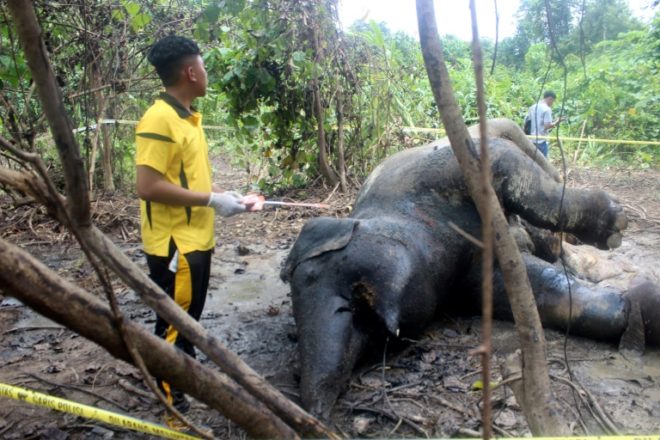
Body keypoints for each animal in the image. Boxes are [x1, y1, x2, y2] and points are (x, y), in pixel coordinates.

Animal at [280, 119, 660, 420]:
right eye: (372, 333)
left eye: (356, 303)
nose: (315, 411)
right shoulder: (471, 280)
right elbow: (552, 296)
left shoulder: (471, 165)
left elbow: (538, 193)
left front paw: (615, 224)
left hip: (511, 133)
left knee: (544, 173)